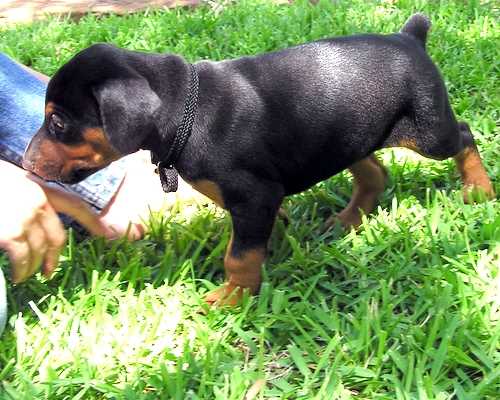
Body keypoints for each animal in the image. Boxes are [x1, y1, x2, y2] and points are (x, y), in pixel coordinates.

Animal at [22, 14, 492, 304]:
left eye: (58, 122)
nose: (26, 164)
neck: (188, 110)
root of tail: (408, 36)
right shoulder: (255, 198)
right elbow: (249, 240)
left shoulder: (254, 196)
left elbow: (240, 255)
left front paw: (233, 297)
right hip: (347, 138)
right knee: (374, 172)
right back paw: (347, 220)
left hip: (428, 131)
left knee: (463, 136)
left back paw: (478, 190)